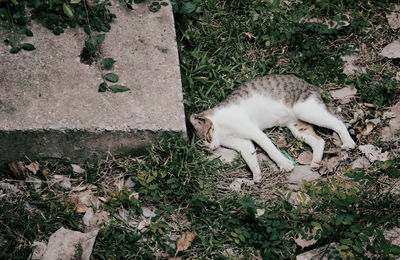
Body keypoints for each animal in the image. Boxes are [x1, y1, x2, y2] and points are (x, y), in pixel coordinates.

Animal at [191, 74, 356, 182]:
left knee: (338, 123)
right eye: (204, 147)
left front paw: (284, 163)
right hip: (297, 127)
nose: (212, 147)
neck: (221, 129)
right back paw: (316, 161)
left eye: (207, 137)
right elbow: (250, 157)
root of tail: (311, 85)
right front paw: (256, 174)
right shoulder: (242, 143)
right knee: (319, 140)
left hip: (306, 110)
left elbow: (270, 149)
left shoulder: (253, 130)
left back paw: (348, 142)